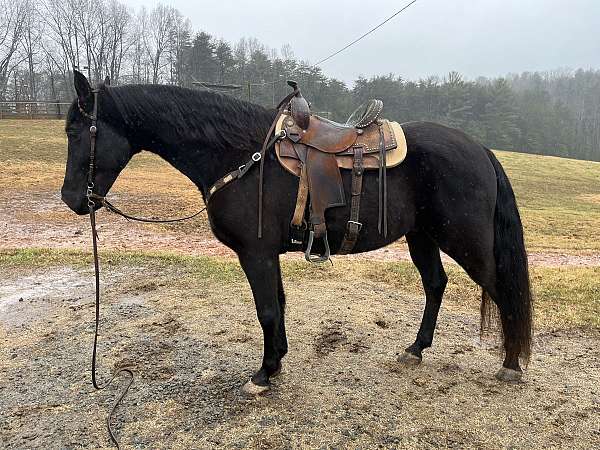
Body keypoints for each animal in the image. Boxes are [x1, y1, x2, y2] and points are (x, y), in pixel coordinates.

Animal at [61, 72, 528, 396]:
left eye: (75, 131)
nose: (72, 199)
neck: (241, 156)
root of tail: (480, 150)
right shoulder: (268, 254)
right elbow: (279, 306)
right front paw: (277, 362)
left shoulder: (256, 254)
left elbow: (267, 310)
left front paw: (263, 374)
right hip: (423, 237)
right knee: (435, 284)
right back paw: (415, 350)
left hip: (464, 242)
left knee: (502, 290)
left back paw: (510, 364)